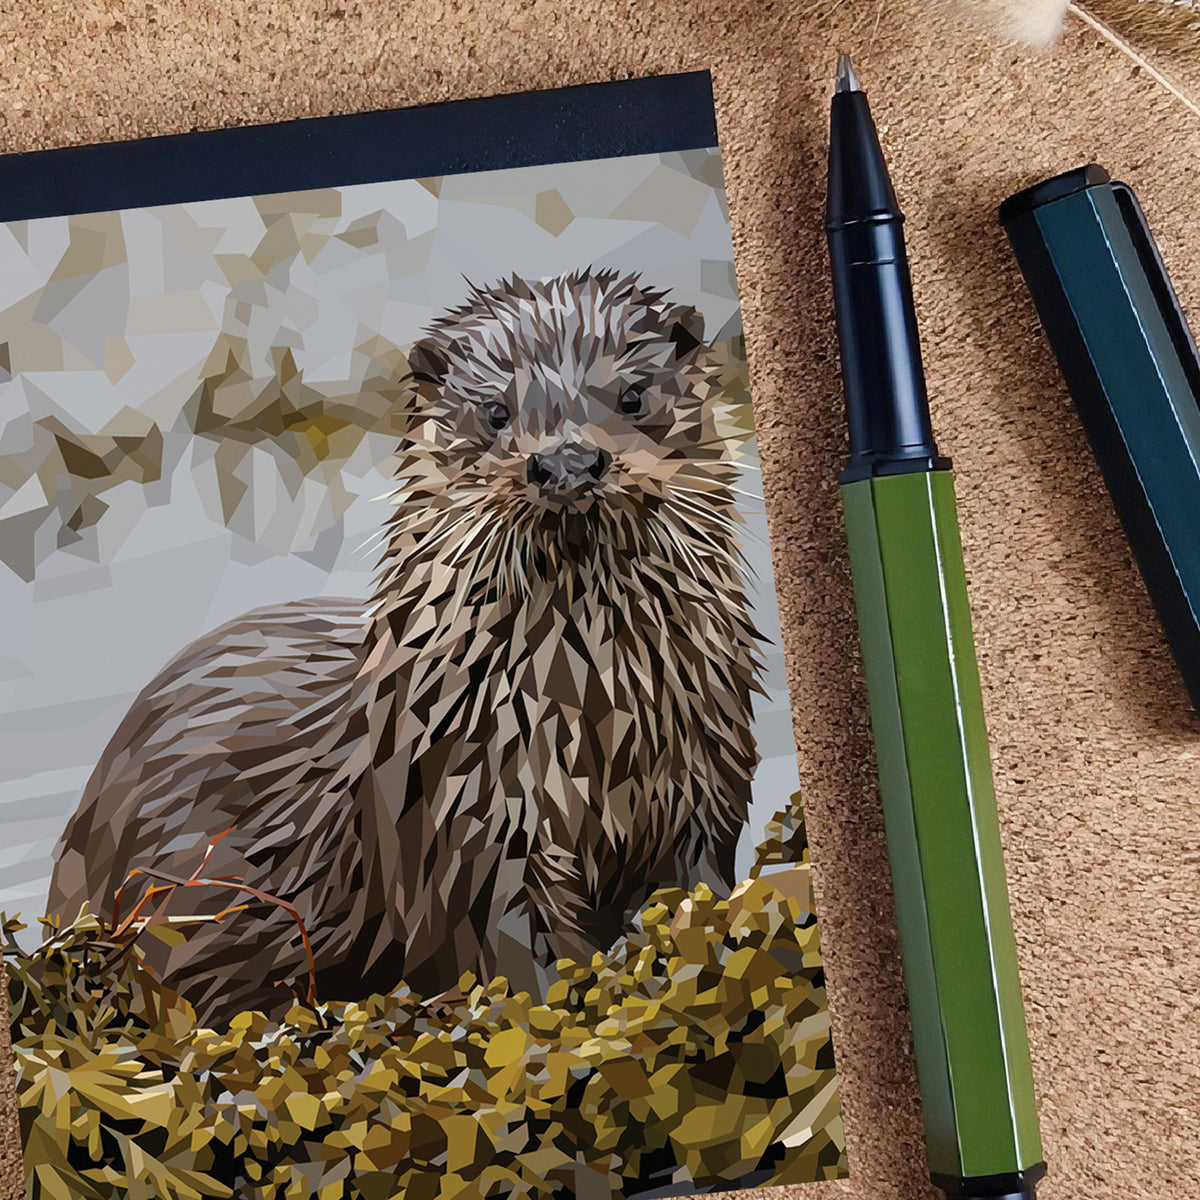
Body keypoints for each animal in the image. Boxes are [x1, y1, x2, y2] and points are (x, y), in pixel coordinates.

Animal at [47, 268, 762, 1024]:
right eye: (494, 412)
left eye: (632, 394)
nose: (566, 462)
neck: (596, 718)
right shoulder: (469, 815)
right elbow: (510, 946)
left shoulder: (707, 778)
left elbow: (702, 879)